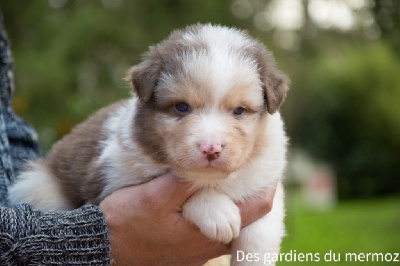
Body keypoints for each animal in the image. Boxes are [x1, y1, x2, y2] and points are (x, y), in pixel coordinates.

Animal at [9, 23, 290, 264]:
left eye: (240, 110)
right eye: (181, 107)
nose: (211, 149)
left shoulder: (265, 184)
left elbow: (260, 234)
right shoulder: (113, 179)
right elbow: (192, 187)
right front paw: (217, 210)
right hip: (38, 186)